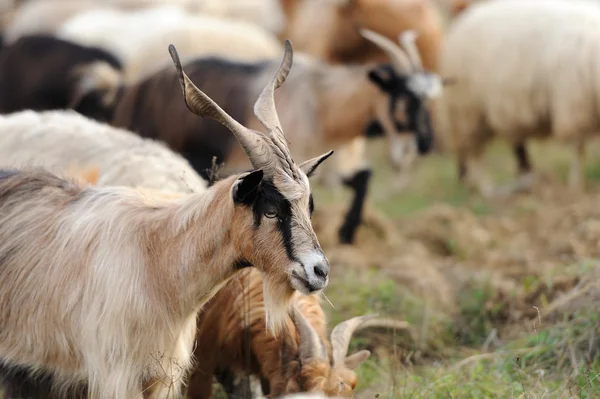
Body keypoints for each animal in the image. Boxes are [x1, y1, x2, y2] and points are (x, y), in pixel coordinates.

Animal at [434, 0, 600, 195]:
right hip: (468, 110)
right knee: (475, 153)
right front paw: (575, 185)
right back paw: (486, 188)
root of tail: (464, 18)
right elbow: (578, 148)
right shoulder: (574, 106)